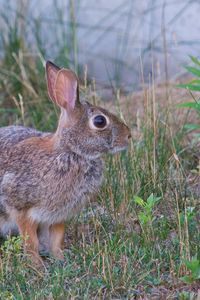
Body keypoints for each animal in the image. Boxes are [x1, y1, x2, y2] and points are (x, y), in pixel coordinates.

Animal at [0, 61, 131, 264]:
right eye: (99, 121)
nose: (128, 135)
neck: (70, 151)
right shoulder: (21, 207)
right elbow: (31, 242)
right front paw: (37, 265)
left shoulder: (59, 216)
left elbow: (56, 239)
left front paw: (60, 259)